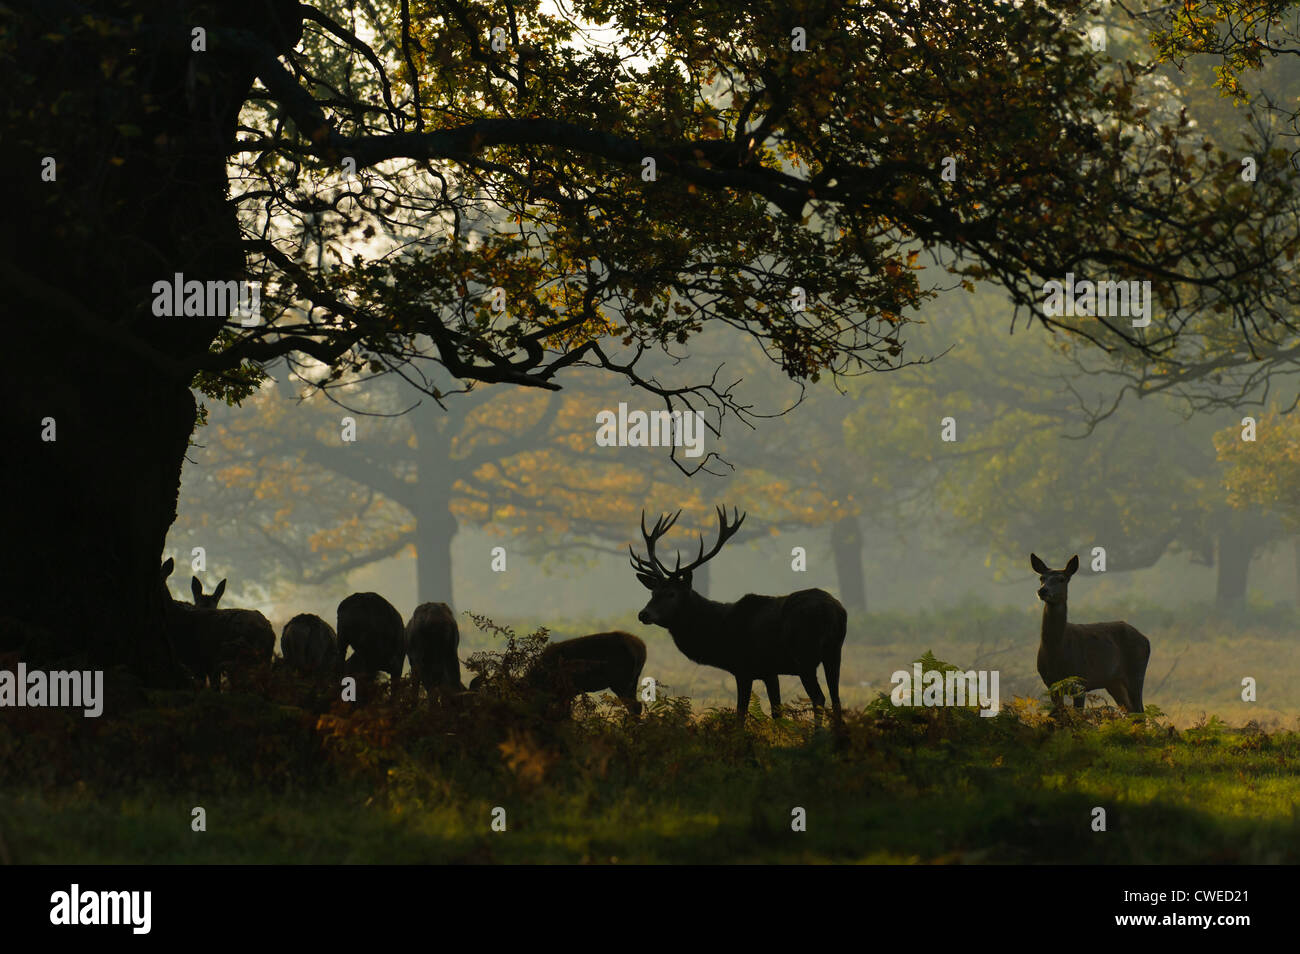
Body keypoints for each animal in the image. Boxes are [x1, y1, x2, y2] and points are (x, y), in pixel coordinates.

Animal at [630, 507, 847, 725]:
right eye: (653, 592)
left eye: (671, 593)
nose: (643, 614)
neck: (721, 631)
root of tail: (836, 610)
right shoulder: (769, 671)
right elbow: (777, 712)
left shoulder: (743, 668)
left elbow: (741, 714)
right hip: (834, 651)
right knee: (836, 698)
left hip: (805, 655)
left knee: (819, 697)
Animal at [1031, 553, 1151, 715]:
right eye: (1041, 578)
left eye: (1062, 579)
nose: (1042, 590)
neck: (1056, 652)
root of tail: (1146, 640)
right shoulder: (1050, 683)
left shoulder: (1081, 681)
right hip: (1114, 682)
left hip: (1137, 672)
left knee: (1140, 710)